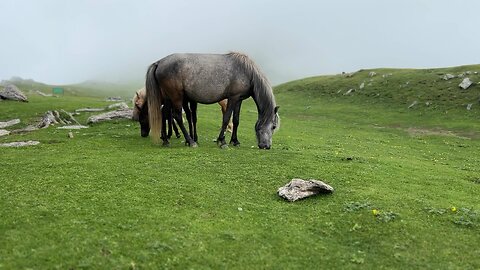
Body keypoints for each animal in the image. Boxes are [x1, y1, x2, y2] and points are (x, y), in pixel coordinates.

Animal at [147, 52, 282, 150]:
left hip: (168, 97)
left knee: (165, 113)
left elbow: (236, 120)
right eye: (274, 126)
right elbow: (226, 118)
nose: (266, 146)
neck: (246, 71)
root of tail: (159, 62)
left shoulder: (239, 100)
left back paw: (166, 140)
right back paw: (190, 141)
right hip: (176, 97)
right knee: (178, 116)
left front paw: (235, 141)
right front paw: (222, 141)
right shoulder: (232, 98)